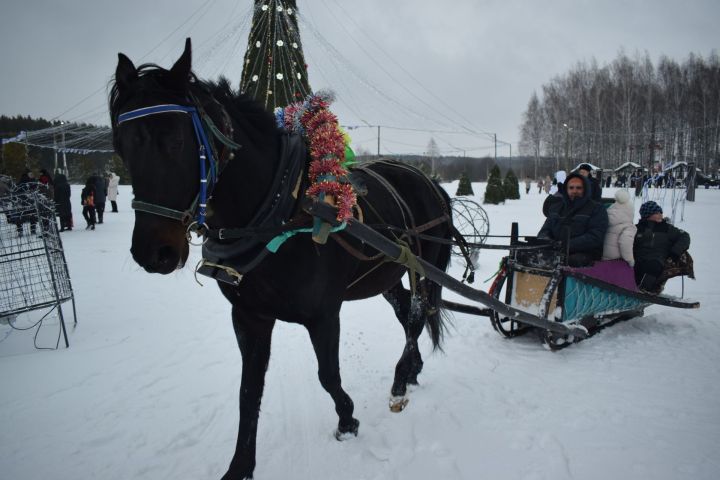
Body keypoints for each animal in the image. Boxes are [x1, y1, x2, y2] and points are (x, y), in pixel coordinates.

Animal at [109, 39, 452, 478]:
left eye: (177, 140)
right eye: (120, 144)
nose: (154, 253)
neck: (281, 208)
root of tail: (429, 182)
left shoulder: (324, 314)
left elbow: (328, 375)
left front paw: (347, 420)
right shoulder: (249, 317)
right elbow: (248, 392)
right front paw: (240, 464)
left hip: (424, 268)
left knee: (418, 315)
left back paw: (399, 379)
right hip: (387, 275)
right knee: (407, 311)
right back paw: (410, 372)